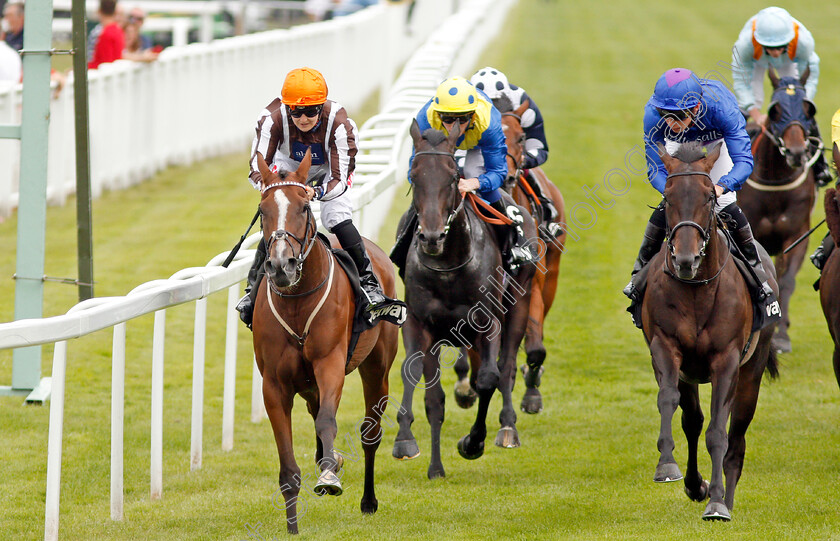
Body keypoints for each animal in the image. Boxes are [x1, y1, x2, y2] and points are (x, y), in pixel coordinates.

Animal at [251, 150, 398, 532]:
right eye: (263, 210)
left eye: (304, 207)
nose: (281, 266)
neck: (297, 301)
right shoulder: (274, 384)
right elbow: (288, 466)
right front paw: (292, 527)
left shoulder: (329, 363)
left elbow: (328, 421)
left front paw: (330, 477)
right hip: (307, 384)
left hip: (377, 367)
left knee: (370, 432)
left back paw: (368, 500)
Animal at [390, 119, 536, 476]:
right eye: (414, 174)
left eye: (452, 176)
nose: (430, 237)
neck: (448, 266)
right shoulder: (420, 323)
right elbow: (425, 389)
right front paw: (415, 450)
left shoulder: (488, 322)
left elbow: (488, 378)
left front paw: (473, 442)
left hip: (519, 303)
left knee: (506, 365)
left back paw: (507, 427)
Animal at [644, 142, 780, 520]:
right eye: (668, 196)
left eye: (708, 197)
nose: (685, 260)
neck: (696, 291)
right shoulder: (665, 347)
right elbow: (670, 401)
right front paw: (669, 467)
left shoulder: (727, 359)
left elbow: (718, 431)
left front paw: (717, 502)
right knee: (692, 421)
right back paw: (696, 485)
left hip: (752, 370)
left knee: (736, 437)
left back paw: (725, 498)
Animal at [740, 68, 816, 354]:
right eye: (776, 110)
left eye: (808, 109)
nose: (796, 152)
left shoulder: (796, 236)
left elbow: (786, 282)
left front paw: (781, 336)